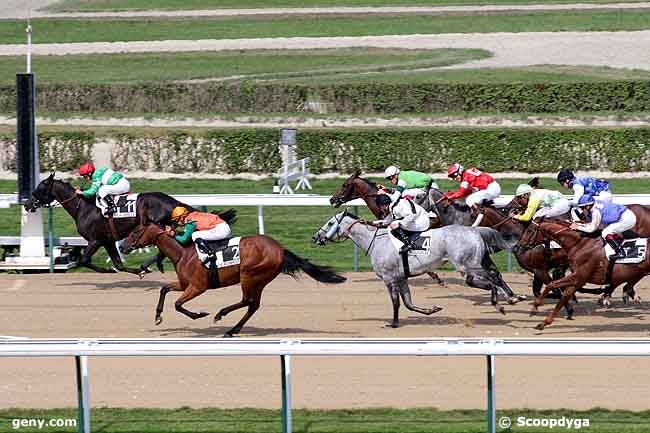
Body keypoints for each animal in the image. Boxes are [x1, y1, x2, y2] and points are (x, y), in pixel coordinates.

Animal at [24, 172, 235, 274]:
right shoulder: (108, 240)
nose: (27, 203)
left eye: (40, 187)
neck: (82, 207)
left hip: (153, 224)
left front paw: (106, 270)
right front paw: (134, 270)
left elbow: (85, 260)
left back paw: (152, 262)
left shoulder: (95, 240)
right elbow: (118, 263)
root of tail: (171, 201)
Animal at [121, 223, 344, 338]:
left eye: (135, 231)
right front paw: (158, 317)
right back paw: (232, 330)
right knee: (253, 305)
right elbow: (164, 289)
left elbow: (177, 304)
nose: (122, 246)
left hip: (249, 275)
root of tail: (280, 249)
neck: (183, 253)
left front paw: (200, 314)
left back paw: (221, 315)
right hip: (260, 280)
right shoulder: (185, 284)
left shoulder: (198, 287)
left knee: (247, 301)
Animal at [312, 210, 528, 328]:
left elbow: (396, 303)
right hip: (476, 262)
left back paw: (501, 301)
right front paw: (432, 309)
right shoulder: (401, 278)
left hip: (468, 264)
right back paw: (512, 297)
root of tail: (474, 230)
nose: (315, 237)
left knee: (491, 277)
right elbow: (408, 303)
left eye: (330, 223)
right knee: (493, 275)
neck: (376, 241)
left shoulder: (389, 278)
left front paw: (393, 323)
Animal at [520, 218, 648, 330]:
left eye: (530, 230)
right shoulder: (576, 280)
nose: (519, 246)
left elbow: (551, 285)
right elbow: (563, 298)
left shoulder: (579, 276)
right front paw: (544, 323)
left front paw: (535, 307)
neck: (580, 243)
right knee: (627, 286)